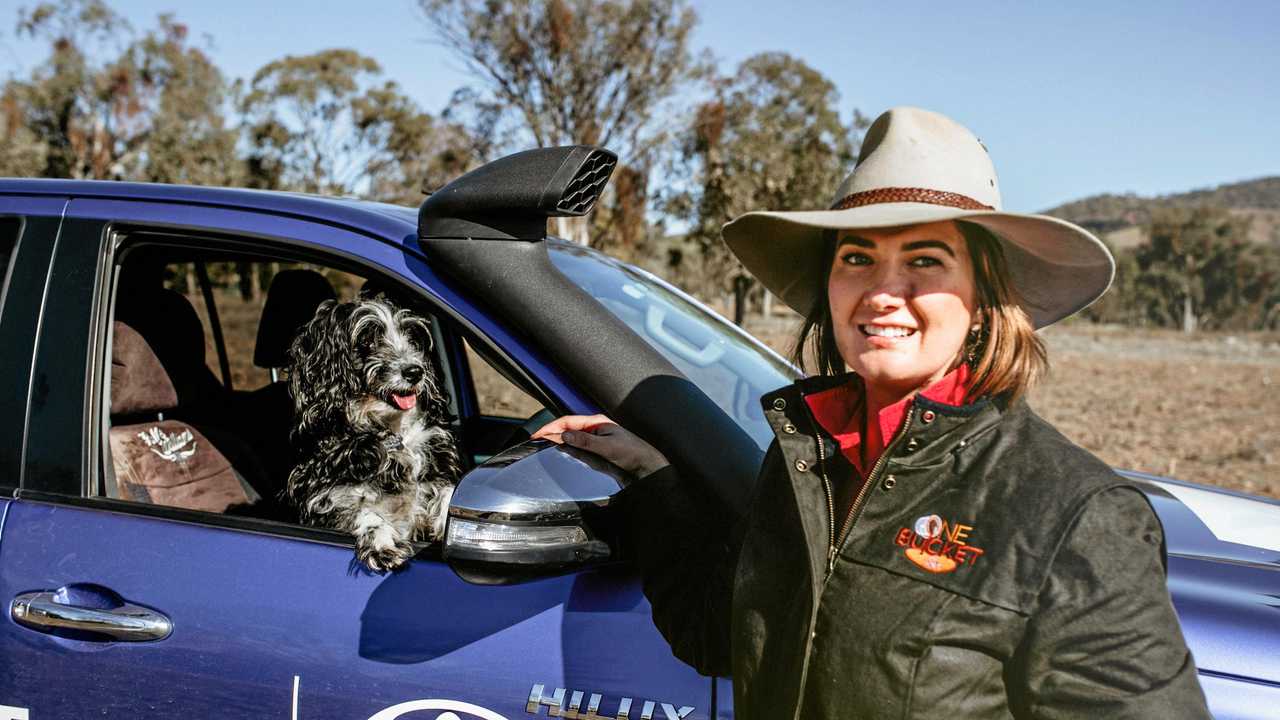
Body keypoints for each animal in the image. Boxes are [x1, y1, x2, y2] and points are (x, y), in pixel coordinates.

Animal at [285, 294, 460, 568]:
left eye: (411, 337)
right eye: (366, 339)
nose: (415, 371)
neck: (391, 429)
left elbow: (448, 492)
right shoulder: (323, 497)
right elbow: (363, 513)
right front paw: (381, 541)